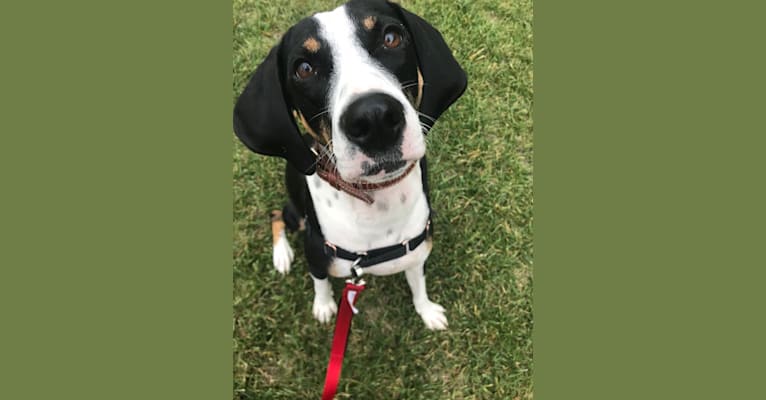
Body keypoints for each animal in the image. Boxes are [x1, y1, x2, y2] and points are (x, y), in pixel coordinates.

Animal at [234, 0, 464, 330]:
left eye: (391, 37)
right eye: (304, 69)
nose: (374, 118)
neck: (377, 207)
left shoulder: (418, 252)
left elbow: (418, 285)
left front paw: (427, 311)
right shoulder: (316, 254)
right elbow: (320, 282)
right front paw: (324, 306)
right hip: (297, 214)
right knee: (276, 214)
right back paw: (282, 255)